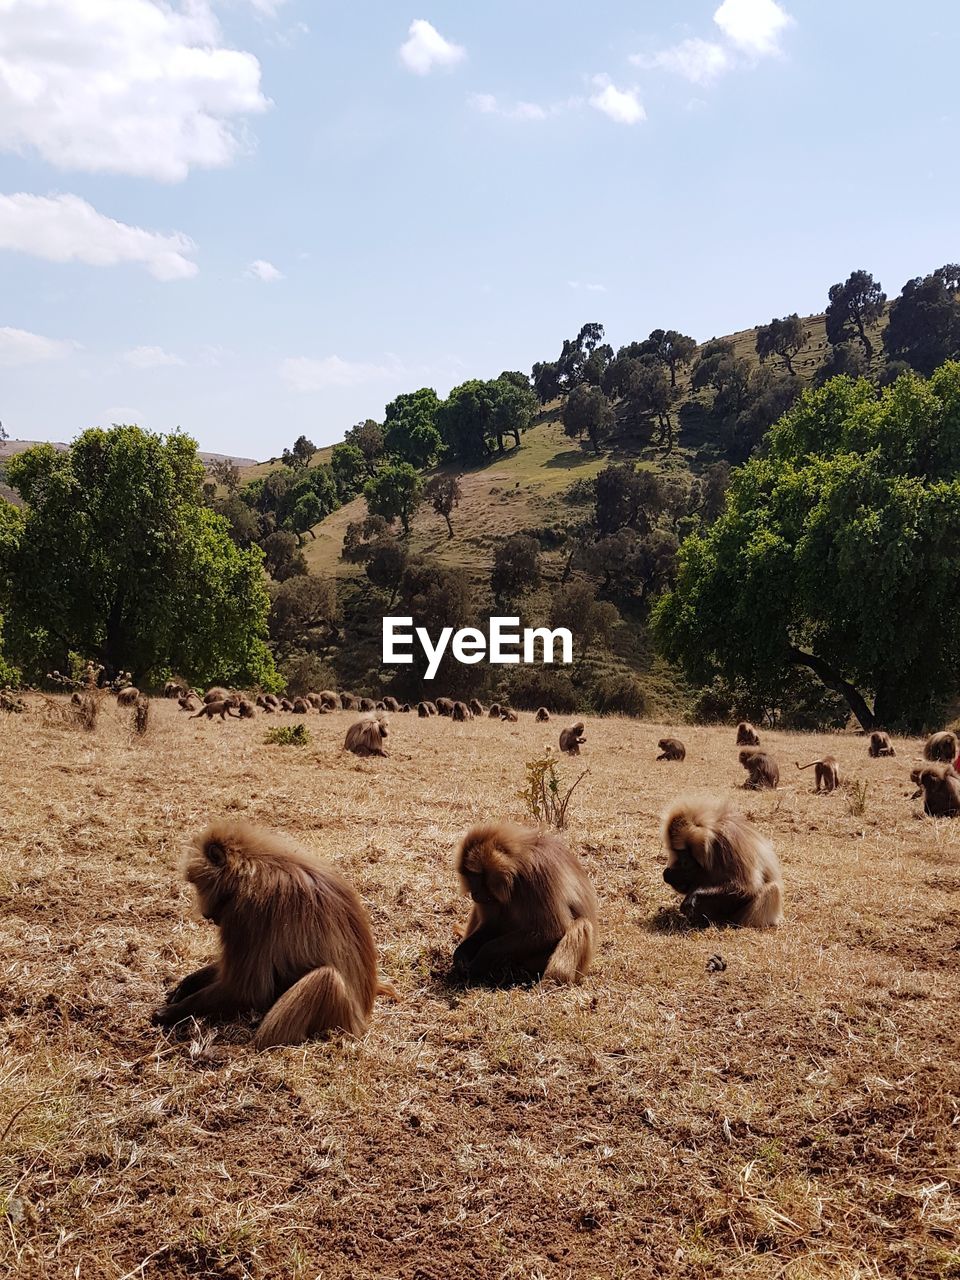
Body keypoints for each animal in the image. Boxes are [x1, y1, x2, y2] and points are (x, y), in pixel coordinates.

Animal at [154, 824, 394, 1044]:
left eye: (199, 885)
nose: (205, 913)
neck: (253, 868)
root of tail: (362, 1016)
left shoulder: (248, 912)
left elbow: (245, 990)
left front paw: (171, 1013)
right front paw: (187, 984)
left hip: (342, 1017)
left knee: (325, 978)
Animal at [453, 824, 601, 983]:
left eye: (476, 876)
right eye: (469, 876)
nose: (474, 893)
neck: (516, 868)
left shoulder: (538, 873)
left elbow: (552, 931)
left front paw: (482, 958)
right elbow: (492, 925)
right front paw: (461, 954)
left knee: (582, 924)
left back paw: (554, 981)